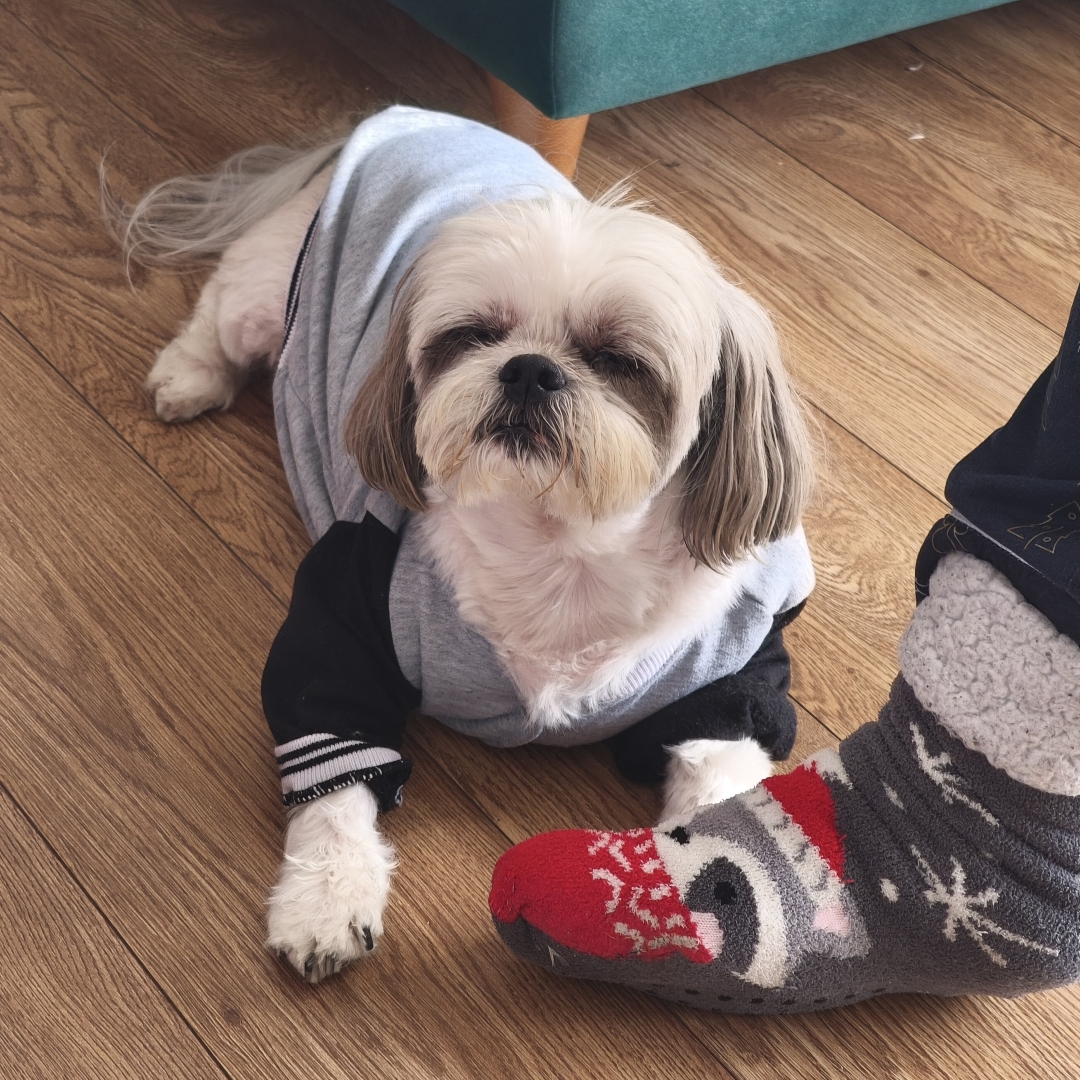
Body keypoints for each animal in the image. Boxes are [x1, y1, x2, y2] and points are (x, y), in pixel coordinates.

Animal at [111, 106, 814, 983]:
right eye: (473, 335)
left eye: (619, 360)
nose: (528, 370)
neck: (558, 548)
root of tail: (404, 117)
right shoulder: (345, 614)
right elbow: (333, 782)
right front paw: (327, 900)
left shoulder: (731, 680)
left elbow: (723, 786)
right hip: (267, 293)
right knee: (219, 308)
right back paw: (189, 374)